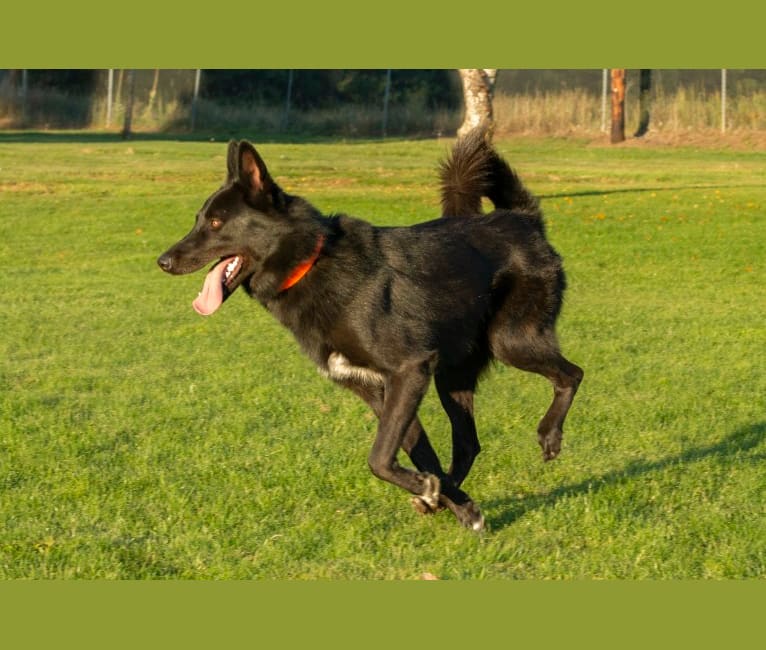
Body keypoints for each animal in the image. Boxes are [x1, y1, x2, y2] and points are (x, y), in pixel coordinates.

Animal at [159, 129, 584, 528]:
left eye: (216, 223)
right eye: (198, 220)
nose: (163, 261)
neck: (311, 261)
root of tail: (524, 220)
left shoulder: (409, 370)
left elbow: (379, 458)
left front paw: (435, 494)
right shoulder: (379, 390)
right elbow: (416, 453)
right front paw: (454, 505)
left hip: (510, 341)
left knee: (572, 374)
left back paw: (550, 435)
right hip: (451, 375)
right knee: (468, 444)